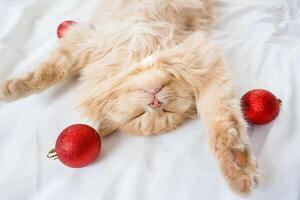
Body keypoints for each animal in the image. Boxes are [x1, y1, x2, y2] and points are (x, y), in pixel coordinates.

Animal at [0, 0, 258, 195]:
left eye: (167, 111)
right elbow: (47, 73)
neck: (142, 53)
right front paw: (10, 89)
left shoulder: (204, 61)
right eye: (139, 115)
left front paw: (237, 166)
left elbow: (223, 124)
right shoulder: (85, 41)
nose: (155, 102)